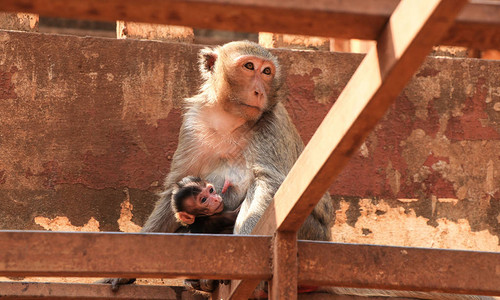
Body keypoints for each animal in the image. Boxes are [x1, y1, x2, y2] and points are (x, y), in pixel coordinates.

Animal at [100, 41, 332, 292]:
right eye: (249, 66)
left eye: (267, 71)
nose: (259, 91)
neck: (230, 119)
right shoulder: (193, 123)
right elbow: (176, 185)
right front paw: (125, 271)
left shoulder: (272, 122)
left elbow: (269, 184)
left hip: (310, 233)